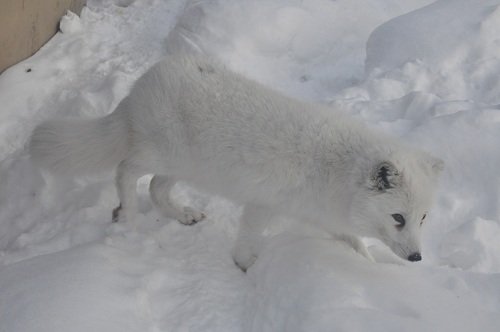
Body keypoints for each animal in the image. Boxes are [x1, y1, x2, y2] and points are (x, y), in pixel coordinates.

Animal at [30, 56, 442, 270]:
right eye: (398, 218)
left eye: (423, 218)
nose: (417, 257)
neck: (336, 171)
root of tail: (141, 84)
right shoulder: (263, 205)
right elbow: (248, 238)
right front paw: (245, 267)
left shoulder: (321, 214)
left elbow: (355, 243)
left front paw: (369, 270)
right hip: (160, 153)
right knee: (125, 171)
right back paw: (127, 217)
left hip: (185, 166)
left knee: (157, 188)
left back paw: (183, 215)